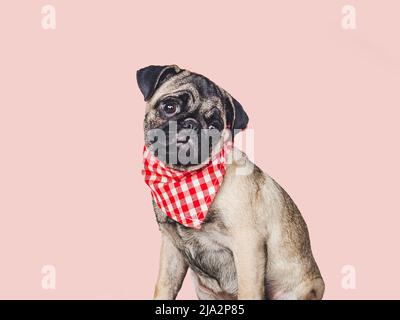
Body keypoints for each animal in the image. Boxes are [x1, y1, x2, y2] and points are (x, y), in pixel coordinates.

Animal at [138, 65, 324, 300]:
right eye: (169, 107)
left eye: (214, 126)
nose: (191, 124)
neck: (184, 179)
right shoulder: (171, 249)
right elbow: (164, 286)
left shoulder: (248, 245)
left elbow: (249, 291)